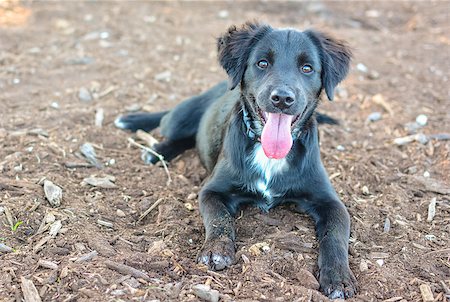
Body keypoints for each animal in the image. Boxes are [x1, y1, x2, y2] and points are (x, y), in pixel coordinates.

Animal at [116, 22, 358, 298]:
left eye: (307, 68)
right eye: (262, 63)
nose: (282, 99)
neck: (268, 153)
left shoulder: (331, 202)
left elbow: (335, 235)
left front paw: (338, 276)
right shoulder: (211, 190)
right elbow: (219, 218)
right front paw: (216, 249)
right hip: (180, 118)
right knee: (171, 123)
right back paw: (150, 141)